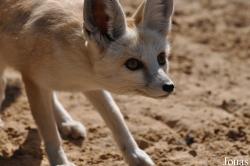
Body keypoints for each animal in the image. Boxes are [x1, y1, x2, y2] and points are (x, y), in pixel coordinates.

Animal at [0, 0, 175, 165]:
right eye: (133, 64)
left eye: (161, 58)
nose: (169, 86)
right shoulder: (33, 80)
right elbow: (49, 132)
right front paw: (61, 162)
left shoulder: (92, 86)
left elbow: (116, 118)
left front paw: (135, 155)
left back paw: (66, 122)